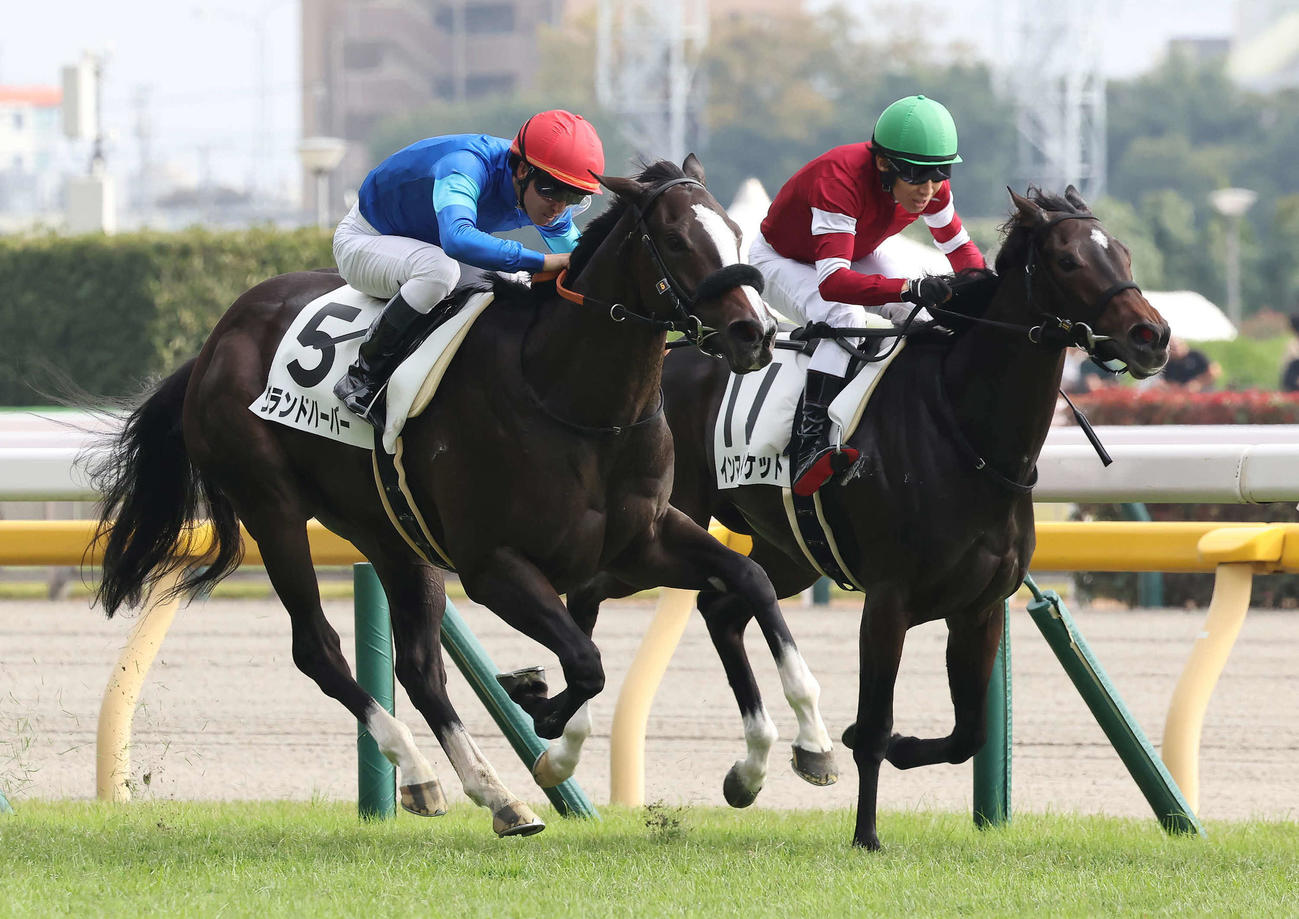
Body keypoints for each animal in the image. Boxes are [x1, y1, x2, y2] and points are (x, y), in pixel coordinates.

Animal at [89, 156, 838, 837]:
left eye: (737, 233)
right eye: (679, 240)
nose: (754, 334)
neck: (571, 398)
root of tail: (215, 340)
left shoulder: (643, 539)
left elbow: (744, 579)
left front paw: (804, 747)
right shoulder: (494, 566)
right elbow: (586, 663)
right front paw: (546, 729)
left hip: (392, 533)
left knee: (421, 668)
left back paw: (495, 796)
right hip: (271, 508)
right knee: (319, 649)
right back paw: (428, 772)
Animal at [569, 187, 1171, 848]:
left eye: (1123, 252)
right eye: (1067, 261)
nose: (1152, 334)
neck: (968, 433)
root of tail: (671, 356)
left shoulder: (980, 606)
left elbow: (967, 735)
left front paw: (882, 750)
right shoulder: (889, 600)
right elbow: (876, 724)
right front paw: (866, 834)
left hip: (790, 553)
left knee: (722, 605)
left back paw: (755, 768)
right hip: (658, 532)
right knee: (592, 591)